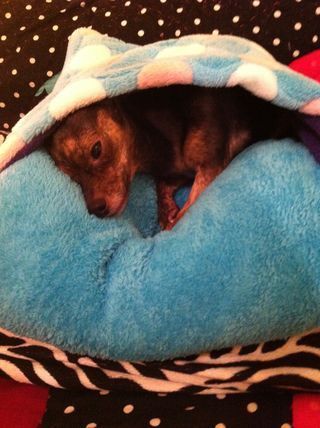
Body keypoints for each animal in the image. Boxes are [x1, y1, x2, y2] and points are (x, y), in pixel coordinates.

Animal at [46, 85, 296, 229]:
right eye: (71, 176)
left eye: (96, 150)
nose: (95, 209)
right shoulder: (179, 170)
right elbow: (162, 185)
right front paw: (166, 212)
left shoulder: (210, 168)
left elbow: (189, 207)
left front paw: (172, 221)